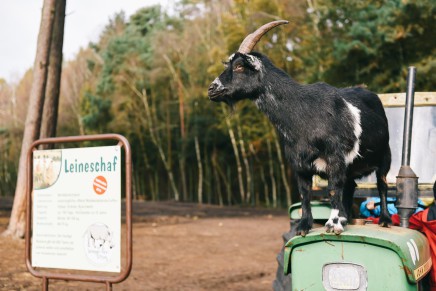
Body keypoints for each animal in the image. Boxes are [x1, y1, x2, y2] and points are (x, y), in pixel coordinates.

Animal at [208, 20, 392, 236]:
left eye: (238, 66)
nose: (212, 89)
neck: (303, 112)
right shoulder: (299, 165)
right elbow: (305, 194)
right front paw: (304, 226)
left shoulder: (335, 159)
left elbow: (333, 189)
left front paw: (333, 224)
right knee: (351, 186)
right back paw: (346, 218)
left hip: (385, 156)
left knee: (382, 184)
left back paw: (384, 220)